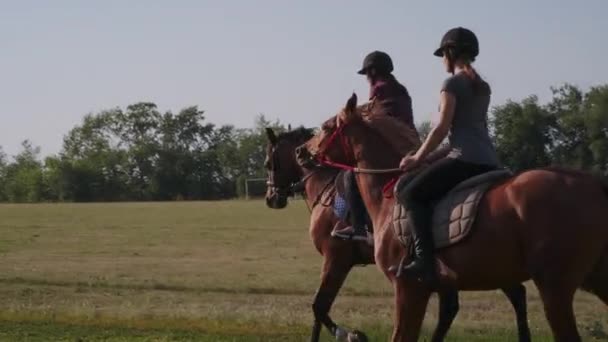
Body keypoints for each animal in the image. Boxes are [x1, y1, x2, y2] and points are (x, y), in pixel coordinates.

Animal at [266, 126, 532, 342]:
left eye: (269, 162)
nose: (271, 198)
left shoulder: (336, 258)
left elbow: (319, 306)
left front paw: (352, 334)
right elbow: (319, 308)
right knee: (490, 300)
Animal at [298, 93, 608, 342]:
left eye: (326, 127)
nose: (301, 151)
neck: (386, 195)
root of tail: (594, 184)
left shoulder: (407, 288)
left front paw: (351, 334)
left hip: (554, 288)